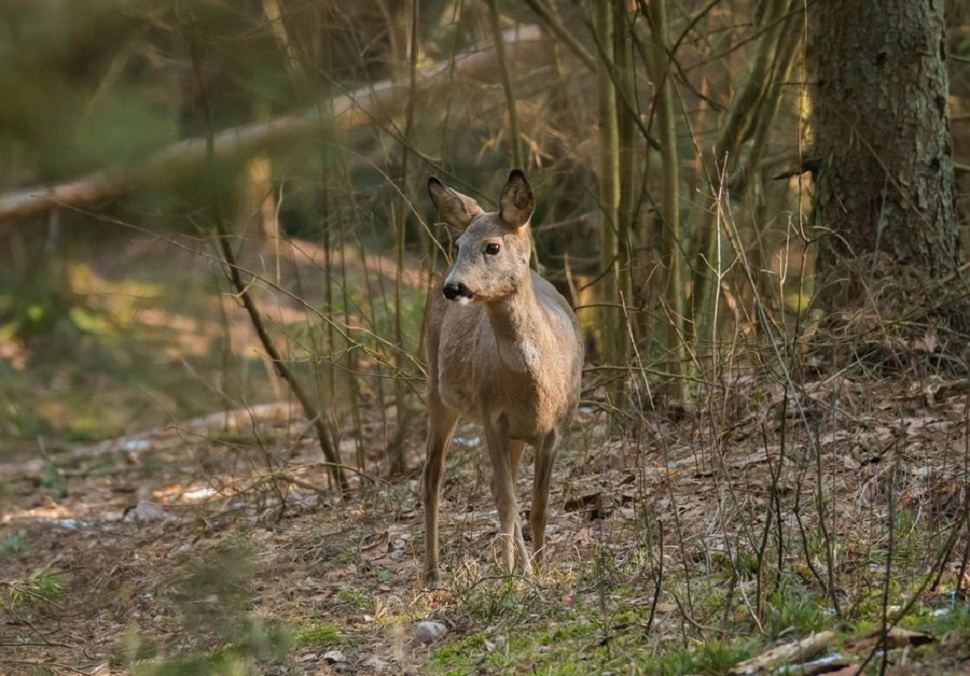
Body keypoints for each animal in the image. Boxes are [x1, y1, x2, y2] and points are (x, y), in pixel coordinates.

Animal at [420, 169, 580, 588]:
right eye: (458, 244)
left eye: (492, 246)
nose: (454, 286)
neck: (536, 386)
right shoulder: (493, 417)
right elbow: (508, 503)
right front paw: (509, 577)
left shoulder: (555, 429)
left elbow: (539, 506)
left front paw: (539, 571)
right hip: (437, 392)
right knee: (432, 476)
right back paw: (433, 572)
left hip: (516, 435)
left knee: (492, 485)